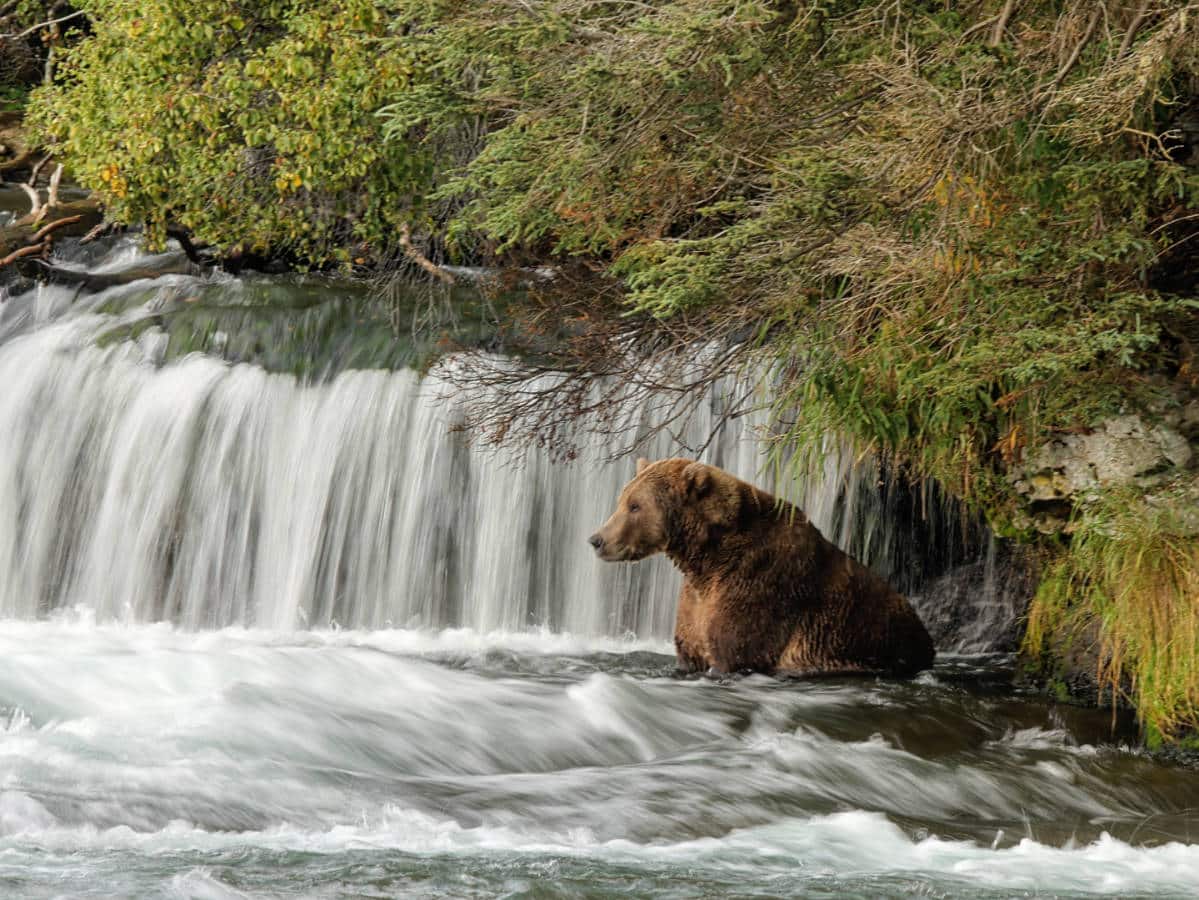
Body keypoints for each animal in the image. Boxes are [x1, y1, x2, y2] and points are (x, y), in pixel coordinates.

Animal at [588, 457, 935, 677]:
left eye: (635, 506)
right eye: (622, 500)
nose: (597, 539)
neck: (706, 558)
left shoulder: (759, 582)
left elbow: (736, 648)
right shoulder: (696, 602)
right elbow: (690, 647)